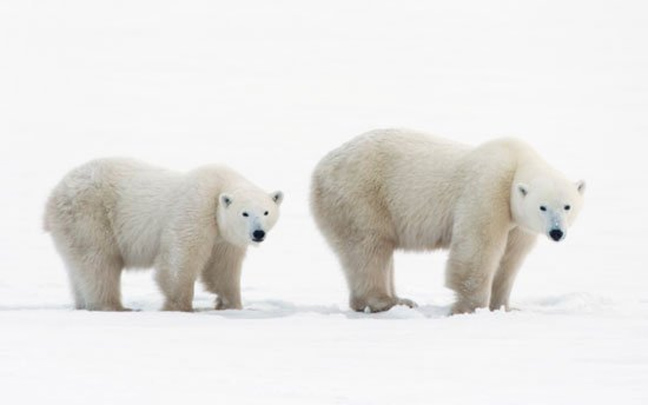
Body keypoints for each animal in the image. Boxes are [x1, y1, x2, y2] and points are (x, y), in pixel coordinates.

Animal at [45, 158, 284, 310]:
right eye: (245, 213)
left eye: (266, 211)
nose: (258, 233)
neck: (219, 185)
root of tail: (53, 197)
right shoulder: (196, 208)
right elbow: (180, 259)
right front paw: (181, 307)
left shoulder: (224, 237)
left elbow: (223, 268)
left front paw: (233, 304)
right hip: (90, 214)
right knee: (99, 261)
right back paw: (113, 306)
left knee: (80, 268)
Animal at [312, 128, 584, 314]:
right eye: (543, 207)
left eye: (567, 206)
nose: (556, 232)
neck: (515, 162)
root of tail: (319, 169)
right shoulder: (487, 190)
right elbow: (477, 251)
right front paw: (471, 308)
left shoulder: (518, 223)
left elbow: (510, 260)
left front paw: (505, 307)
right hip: (361, 195)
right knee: (368, 247)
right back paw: (384, 301)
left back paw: (398, 299)